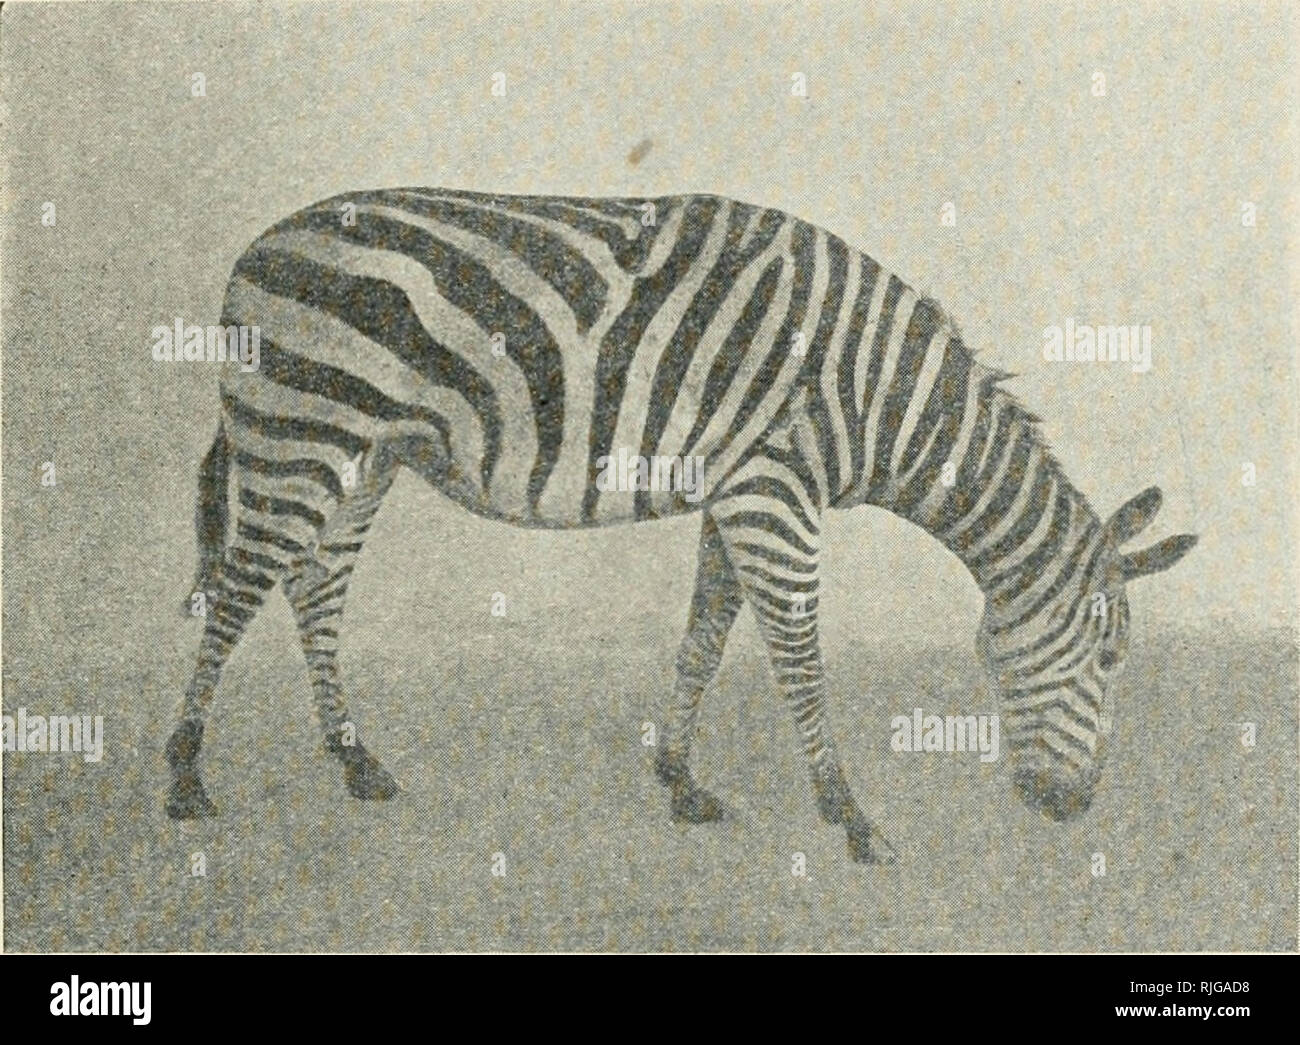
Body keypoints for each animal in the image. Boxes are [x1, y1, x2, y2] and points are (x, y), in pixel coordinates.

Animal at [165, 188, 1197, 864]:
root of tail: (256, 245)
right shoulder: (774, 493)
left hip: (364, 454)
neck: (884, 399)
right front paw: (851, 816)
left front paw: (681, 780)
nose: (1074, 808)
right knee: (239, 591)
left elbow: (705, 639)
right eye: (1111, 657)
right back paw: (184, 778)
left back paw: (356, 761)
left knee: (314, 588)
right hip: (301, 429)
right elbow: (799, 658)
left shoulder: (737, 491)